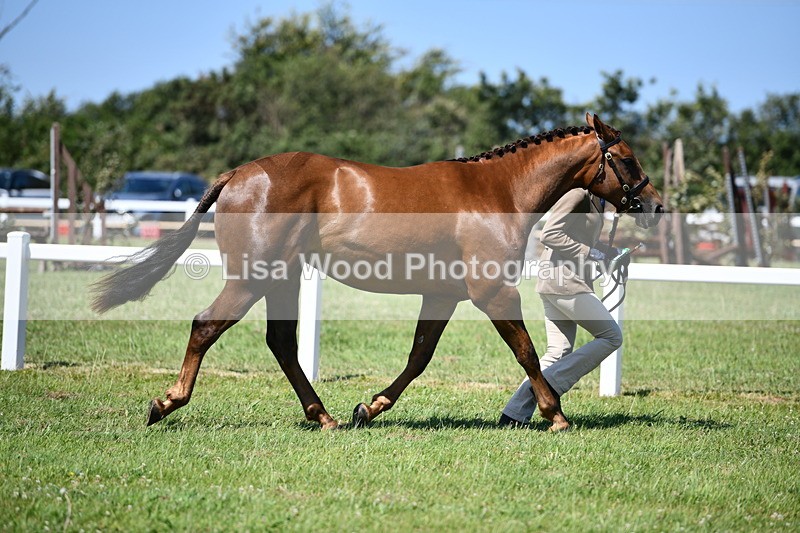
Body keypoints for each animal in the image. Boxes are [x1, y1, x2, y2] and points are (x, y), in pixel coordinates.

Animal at [92, 113, 663, 432]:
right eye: (627, 159)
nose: (656, 205)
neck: (497, 191)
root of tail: (237, 174)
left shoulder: (443, 296)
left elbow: (419, 357)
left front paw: (370, 408)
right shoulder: (493, 293)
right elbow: (525, 352)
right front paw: (556, 415)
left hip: (281, 279)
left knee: (281, 342)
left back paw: (324, 417)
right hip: (252, 279)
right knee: (206, 326)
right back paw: (167, 403)